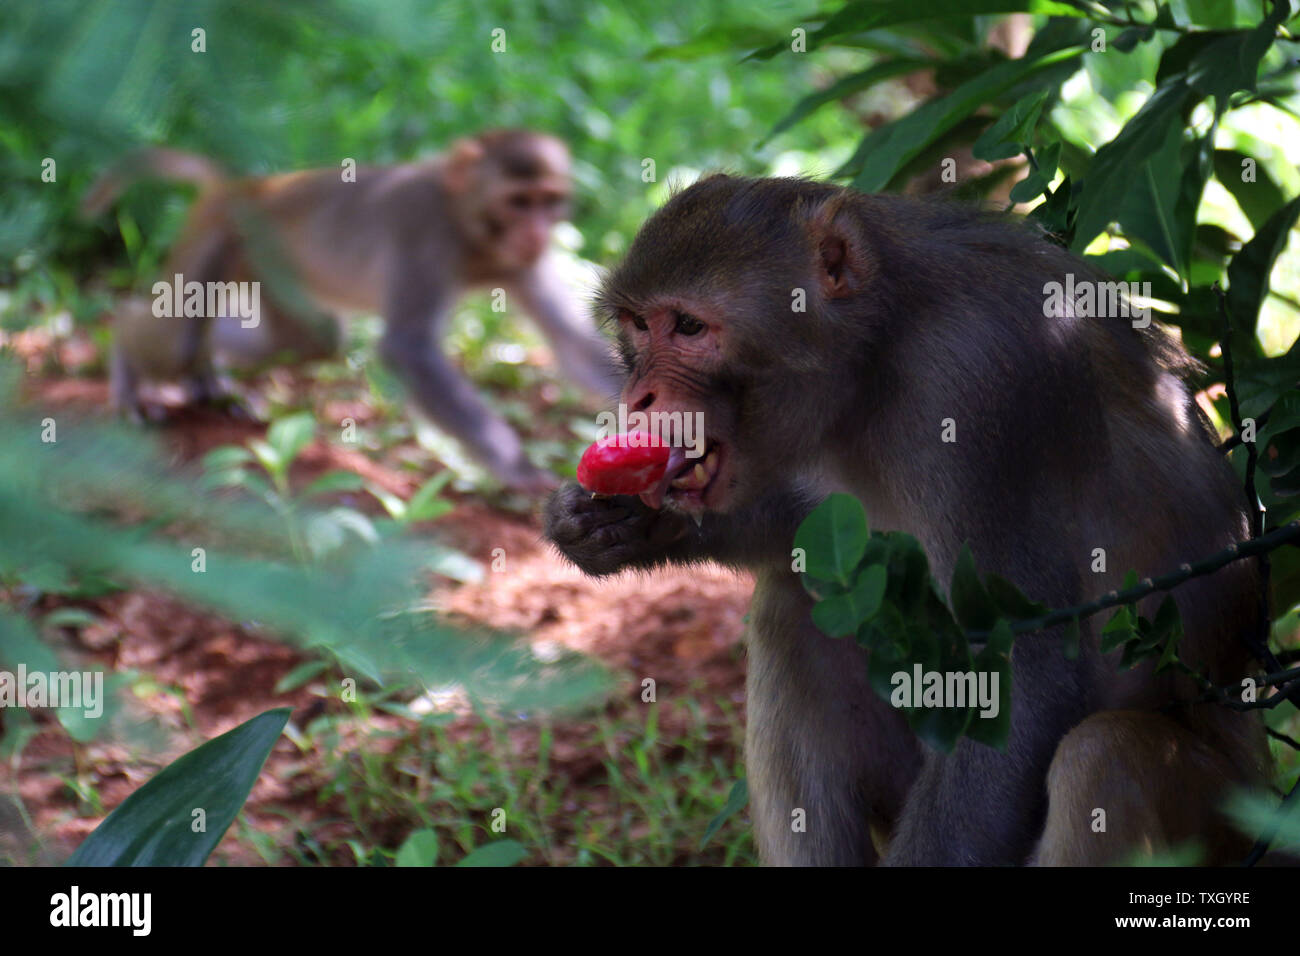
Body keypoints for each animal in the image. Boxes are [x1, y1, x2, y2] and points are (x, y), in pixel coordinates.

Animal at [83, 132, 620, 492]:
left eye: (548, 200)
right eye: (518, 201)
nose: (537, 232)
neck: (469, 227)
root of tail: (249, 187)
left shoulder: (520, 264)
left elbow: (568, 340)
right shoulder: (424, 231)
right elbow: (408, 349)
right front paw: (520, 470)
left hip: (262, 266)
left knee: (309, 338)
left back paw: (204, 377)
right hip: (218, 235)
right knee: (180, 334)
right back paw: (126, 356)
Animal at [544, 174, 1273, 865]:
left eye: (689, 329)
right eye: (638, 327)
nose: (638, 396)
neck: (883, 348)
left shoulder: (976, 388)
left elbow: (1023, 668)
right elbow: (830, 538)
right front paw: (618, 525)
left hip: (1226, 819)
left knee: (1105, 757)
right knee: (794, 609)